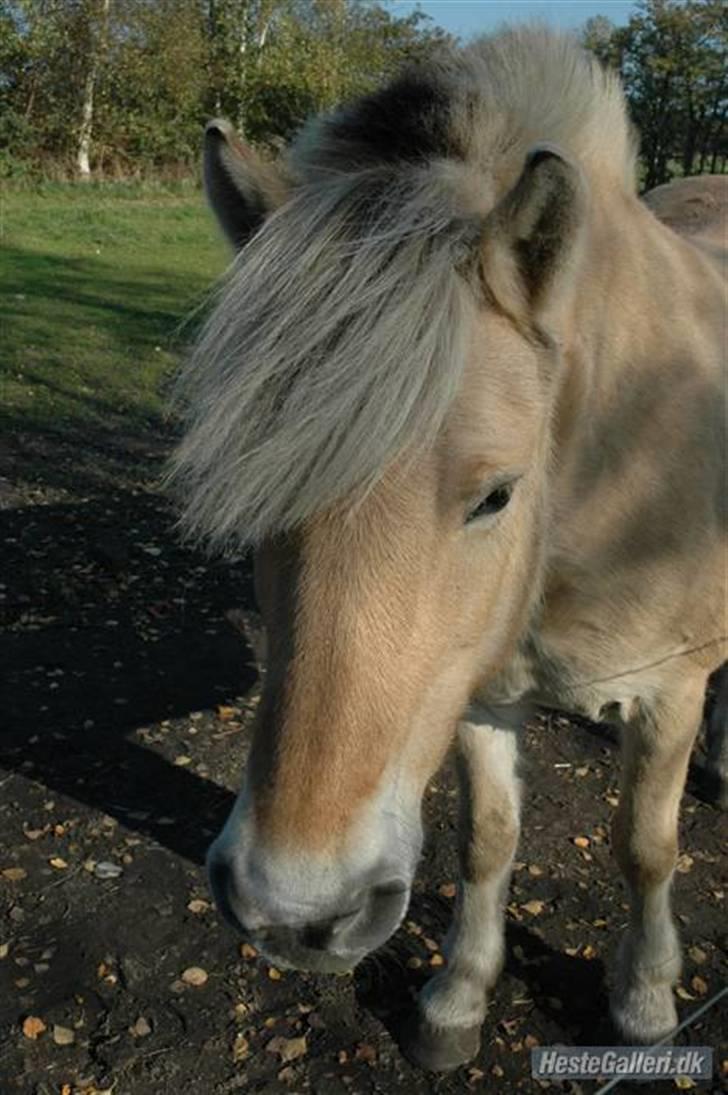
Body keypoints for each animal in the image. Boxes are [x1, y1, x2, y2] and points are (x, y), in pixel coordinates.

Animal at [169, 28, 727, 1072]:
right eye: (257, 486)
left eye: (496, 494)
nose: (294, 911)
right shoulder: (476, 688)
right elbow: (488, 839)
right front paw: (458, 996)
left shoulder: (667, 691)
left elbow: (645, 847)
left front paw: (643, 999)